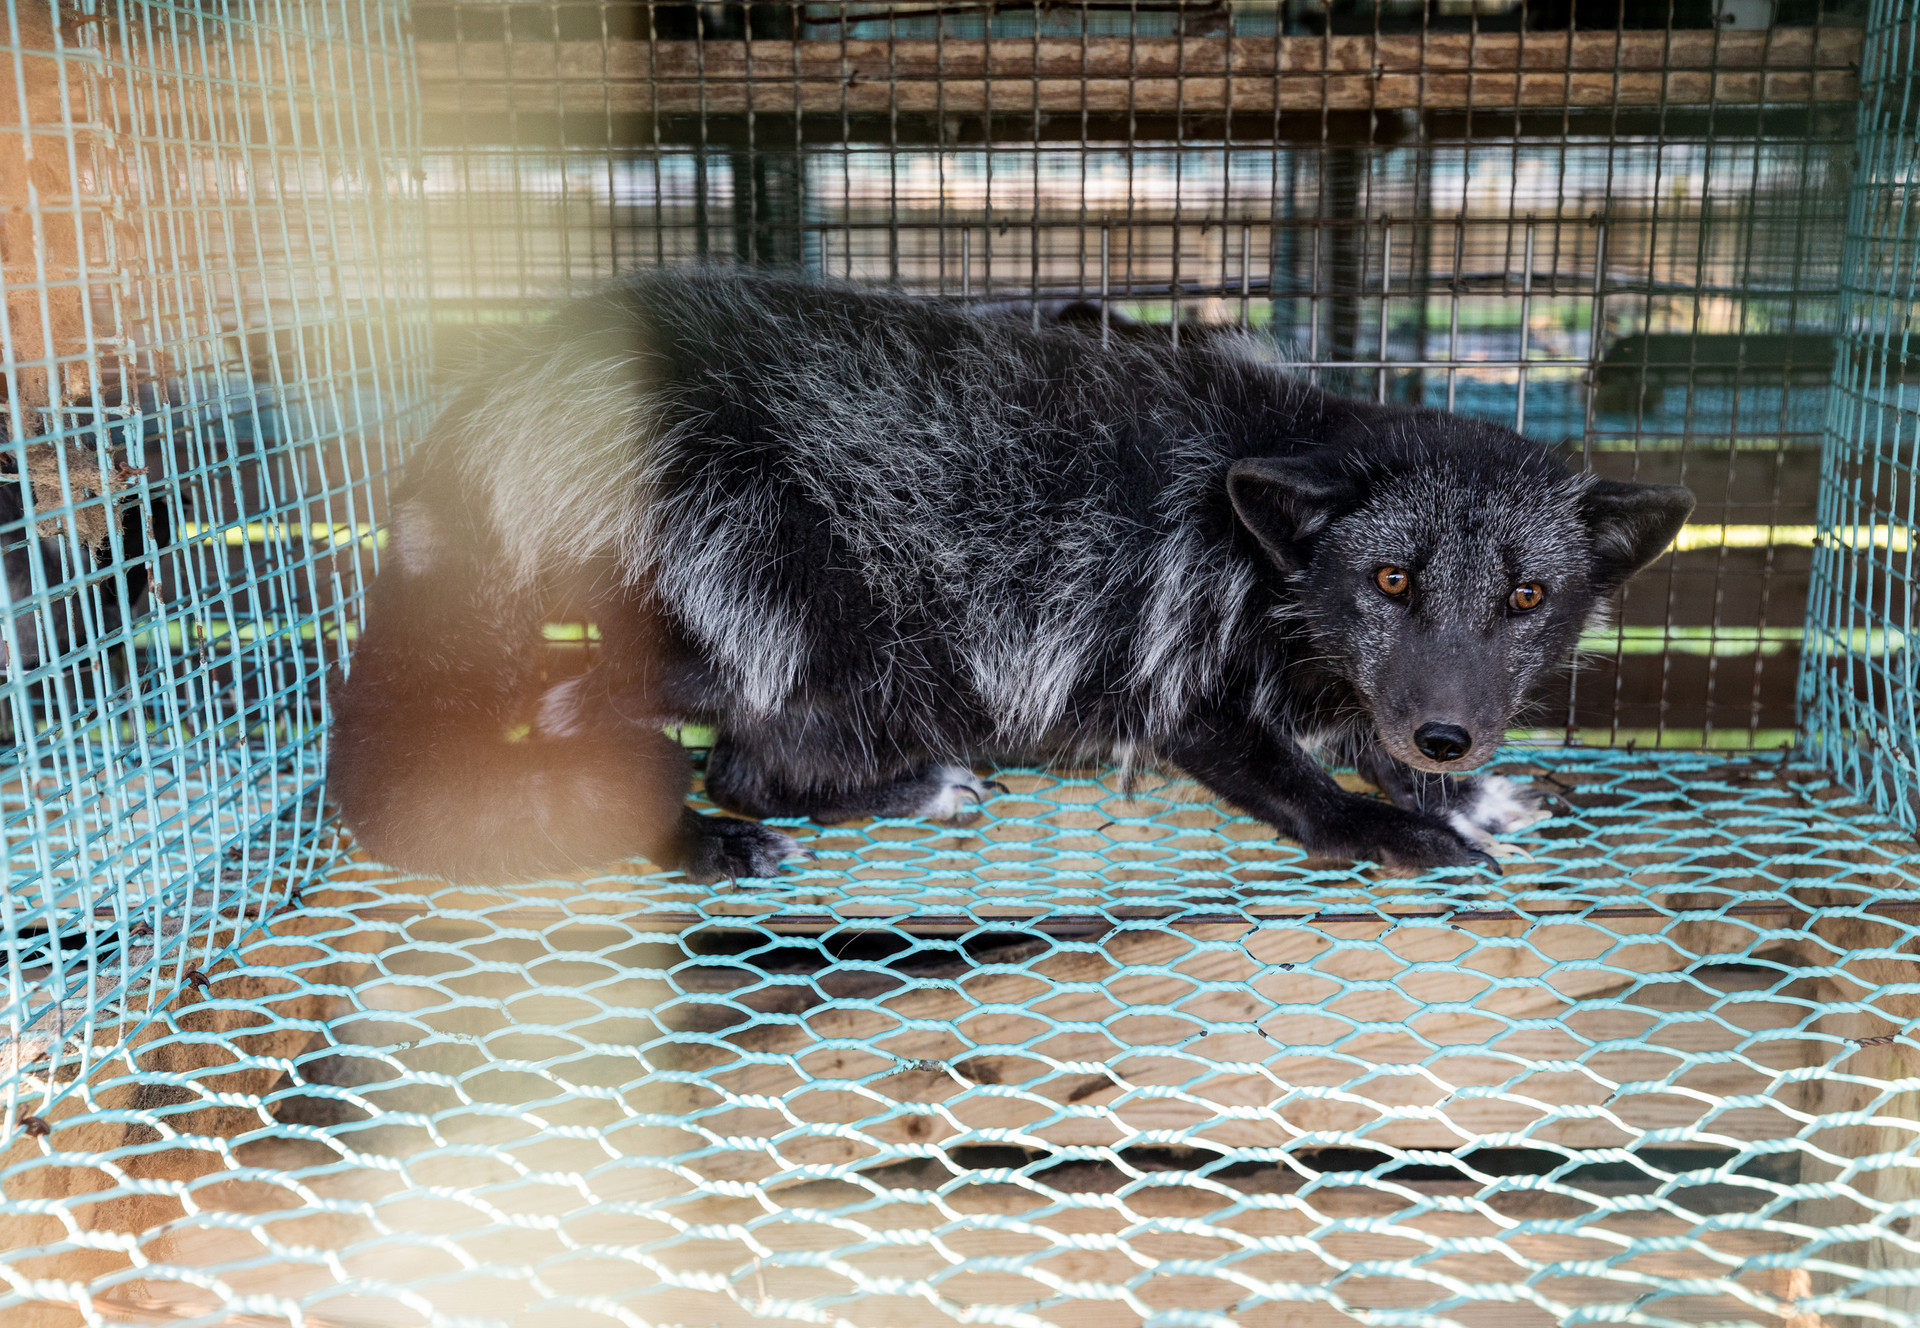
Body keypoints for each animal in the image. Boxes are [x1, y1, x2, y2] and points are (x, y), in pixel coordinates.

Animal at [326, 265, 1694, 885]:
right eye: (1394, 580)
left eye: (1527, 598)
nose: (1452, 732)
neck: (1261, 566)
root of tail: (515, 381)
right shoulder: (1180, 691)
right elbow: (1304, 785)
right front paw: (1396, 825)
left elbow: (1364, 730)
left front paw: (1459, 794)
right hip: (795, 624)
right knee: (624, 727)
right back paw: (703, 840)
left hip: (867, 670)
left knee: (748, 762)